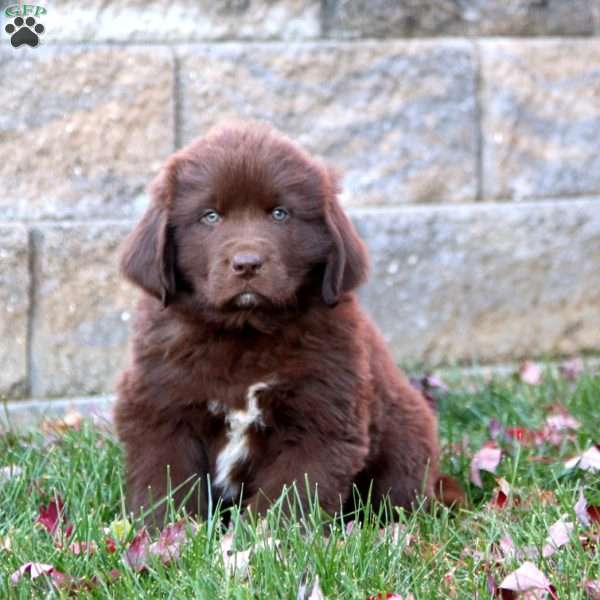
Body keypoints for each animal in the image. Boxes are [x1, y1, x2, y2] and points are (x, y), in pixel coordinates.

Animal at [113, 123, 440, 524]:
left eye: (280, 214)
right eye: (210, 216)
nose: (247, 263)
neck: (244, 332)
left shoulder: (321, 416)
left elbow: (289, 494)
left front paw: (261, 536)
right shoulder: (160, 406)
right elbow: (164, 483)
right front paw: (167, 531)